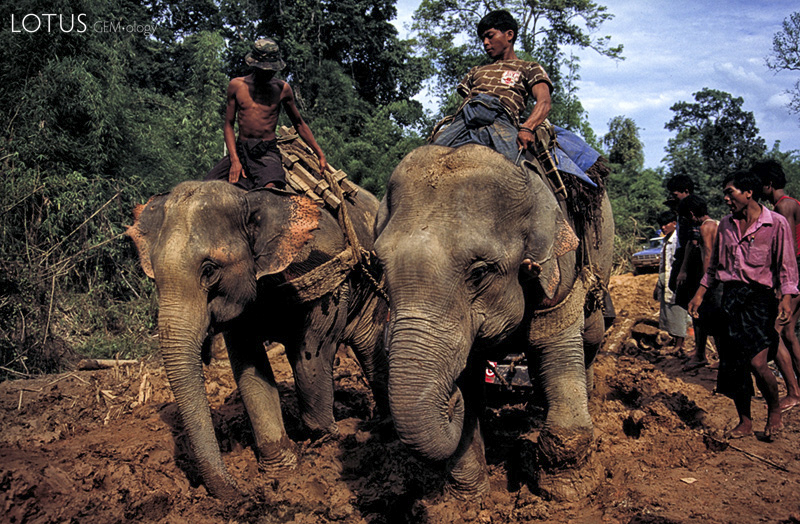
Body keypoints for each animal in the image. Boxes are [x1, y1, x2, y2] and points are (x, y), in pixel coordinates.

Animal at [126, 180, 389, 499]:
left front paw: (328, 441)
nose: (239, 491)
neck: (249, 197)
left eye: (209, 270)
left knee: (369, 346)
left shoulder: (325, 279)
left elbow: (310, 357)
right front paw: (282, 469)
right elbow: (251, 372)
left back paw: (385, 428)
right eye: (153, 274)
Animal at [373, 144, 614, 501]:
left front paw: (569, 491)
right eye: (380, 265)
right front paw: (469, 500)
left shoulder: (559, 271)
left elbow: (555, 337)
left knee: (593, 334)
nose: (450, 400)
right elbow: (469, 373)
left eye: (479, 272)